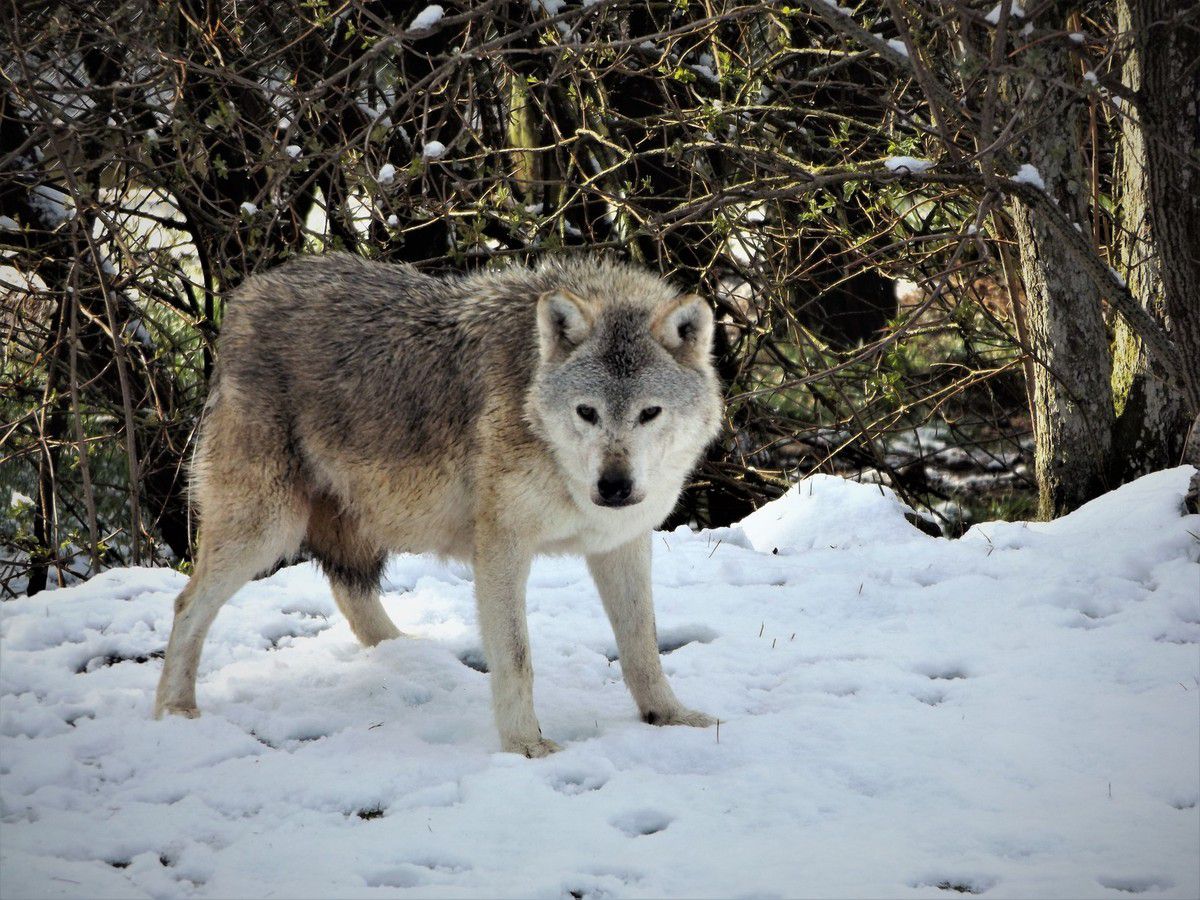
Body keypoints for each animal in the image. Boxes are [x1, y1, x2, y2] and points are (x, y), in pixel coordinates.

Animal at [157, 254, 720, 763]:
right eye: (587, 412)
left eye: (649, 413)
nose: (614, 487)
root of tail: (245, 296)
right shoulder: (502, 548)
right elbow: (517, 658)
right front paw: (526, 746)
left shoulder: (620, 543)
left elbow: (643, 646)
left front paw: (669, 717)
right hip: (267, 528)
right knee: (187, 606)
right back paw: (173, 711)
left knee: (349, 592)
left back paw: (412, 656)